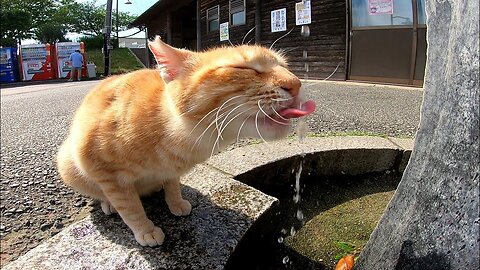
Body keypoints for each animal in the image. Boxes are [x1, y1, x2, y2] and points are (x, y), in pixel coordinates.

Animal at [56, 36, 316, 247]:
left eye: (284, 66)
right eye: (243, 67)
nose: (296, 84)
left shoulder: (172, 170)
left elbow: (172, 185)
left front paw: (176, 202)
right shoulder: (105, 171)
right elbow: (130, 208)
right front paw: (145, 230)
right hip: (68, 164)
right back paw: (108, 203)